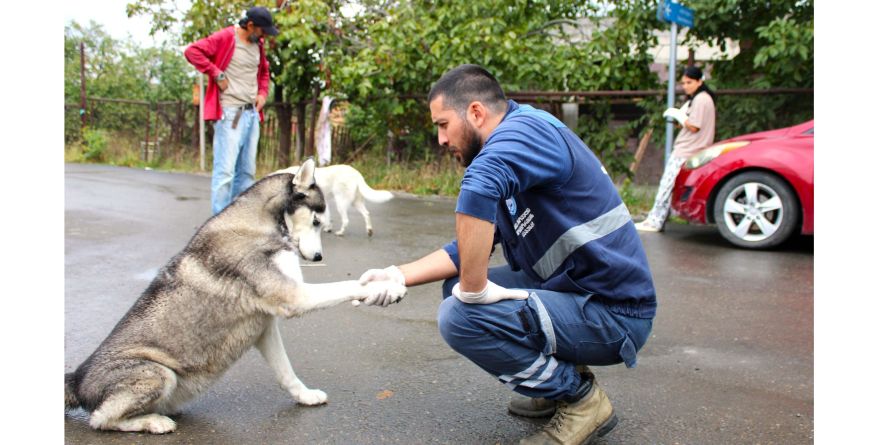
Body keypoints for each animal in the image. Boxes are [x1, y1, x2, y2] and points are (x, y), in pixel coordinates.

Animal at [65, 160, 406, 434]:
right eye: (317, 221)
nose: (319, 257)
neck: (260, 225)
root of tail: (78, 378)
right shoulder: (293, 296)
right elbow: (346, 286)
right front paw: (384, 287)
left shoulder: (264, 327)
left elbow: (287, 373)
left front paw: (305, 395)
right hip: (157, 373)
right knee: (100, 419)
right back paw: (153, 422)